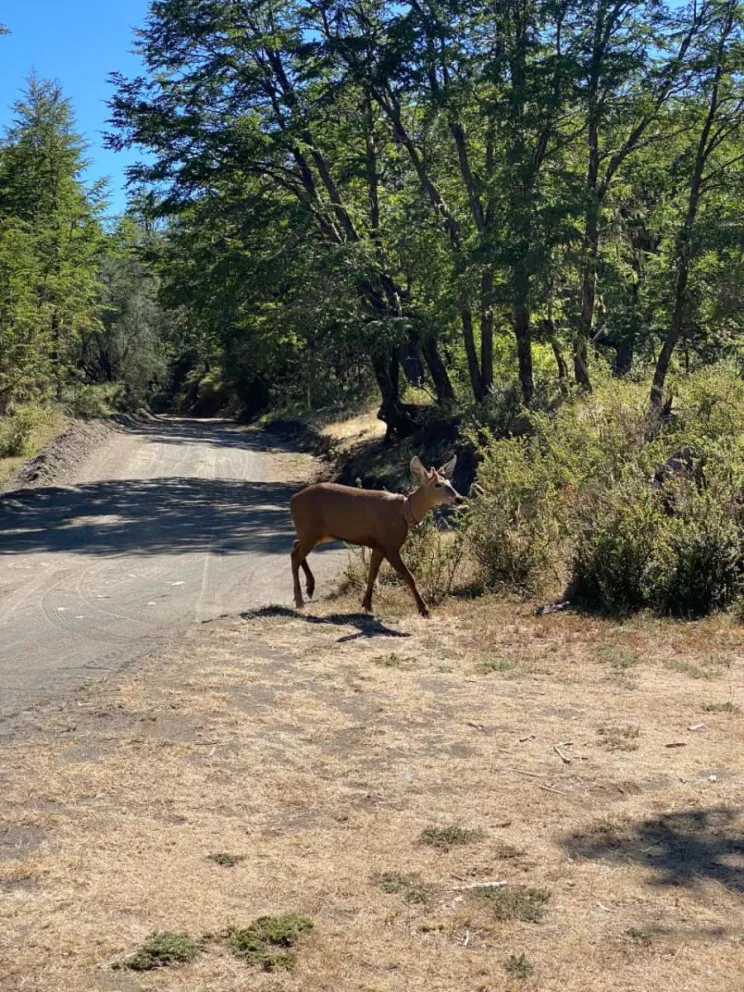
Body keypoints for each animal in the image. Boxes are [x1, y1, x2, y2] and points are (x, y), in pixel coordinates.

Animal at [290, 454, 464, 616]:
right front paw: (424, 609)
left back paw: (310, 588)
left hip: (318, 533)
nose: (459, 498)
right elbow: (409, 576)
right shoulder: (389, 545)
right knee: (295, 555)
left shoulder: (378, 546)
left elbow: (372, 574)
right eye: (437, 484)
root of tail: (293, 499)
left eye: (450, 482)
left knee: (295, 545)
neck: (403, 512)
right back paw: (299, 600)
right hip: (310, 529)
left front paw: (367, 605)